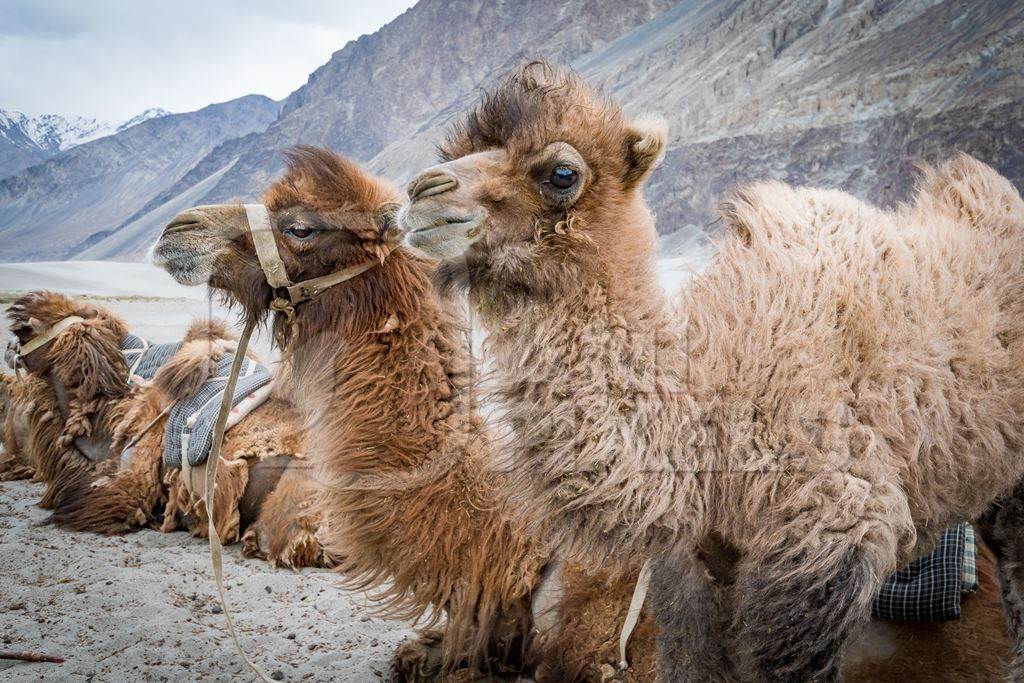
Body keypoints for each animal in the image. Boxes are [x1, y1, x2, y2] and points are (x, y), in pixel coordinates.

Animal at [403, 62, 1019, 679]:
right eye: (459, 151)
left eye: (561, 173)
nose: (420, 191)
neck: (712, 405)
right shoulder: (692, 566)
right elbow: (691, 658)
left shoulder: (830, 537)